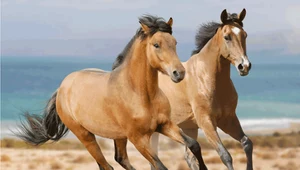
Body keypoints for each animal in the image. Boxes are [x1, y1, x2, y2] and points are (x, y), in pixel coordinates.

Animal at [14, 14, 206, 170]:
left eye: (174, 43)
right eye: (156, 45)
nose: (179, 73)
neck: (141, 94)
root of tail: (61, 88)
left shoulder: (165, 125)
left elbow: (194, 145)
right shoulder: (138, 139)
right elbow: (160, 165)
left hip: (118, 136)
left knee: (120, 159)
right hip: (86, 136)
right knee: (106, 165)